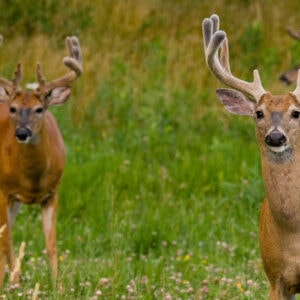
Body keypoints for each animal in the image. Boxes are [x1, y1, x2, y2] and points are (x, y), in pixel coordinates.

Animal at [0, 35, 82, 286]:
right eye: (13, 108)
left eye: (39, 109)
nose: (22, 133)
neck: (32, 180)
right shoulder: (4, 190)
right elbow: (8, 242)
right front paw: (15, 283)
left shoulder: (52, 193)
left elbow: (51, 245)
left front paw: (58, 286)